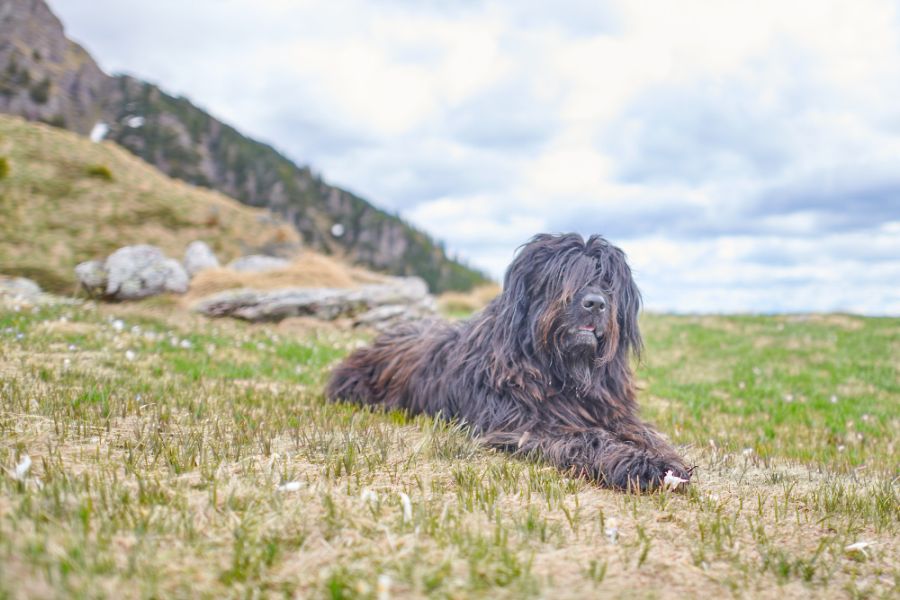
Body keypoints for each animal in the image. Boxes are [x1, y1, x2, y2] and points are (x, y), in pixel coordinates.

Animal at [328, 232, 688, 490]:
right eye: (564, 276)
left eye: (608, 281)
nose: (596, 303)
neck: (562, 372)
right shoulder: (523, 424)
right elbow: (584, 437)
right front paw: (634, 463)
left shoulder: (612, 410)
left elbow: (643, 431)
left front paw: (666, 457)